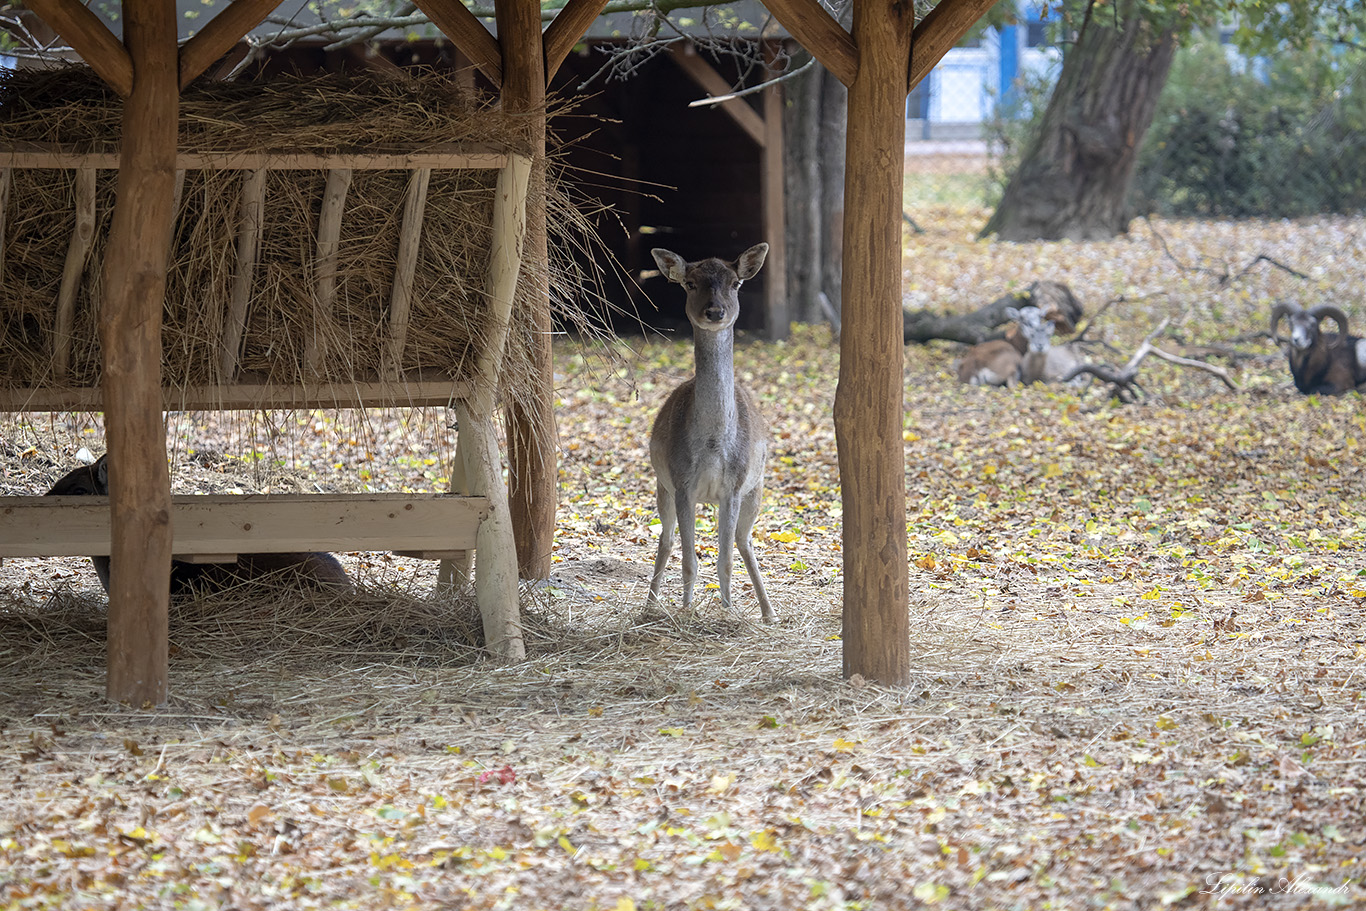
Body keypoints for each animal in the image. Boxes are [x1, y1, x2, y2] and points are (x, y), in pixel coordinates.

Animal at [642, 245, 775, 622]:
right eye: (690, 283)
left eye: (736, 282)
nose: (714, 311)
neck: (714, 443)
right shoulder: (682, 482)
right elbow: (689, 562)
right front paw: (687, 611)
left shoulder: (734, 486)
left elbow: (725, 561)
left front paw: (728, 613)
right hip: (662, 486)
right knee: (666, 539)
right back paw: (649, 605)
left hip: (756, 490)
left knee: (745, 541)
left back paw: (769, 612)